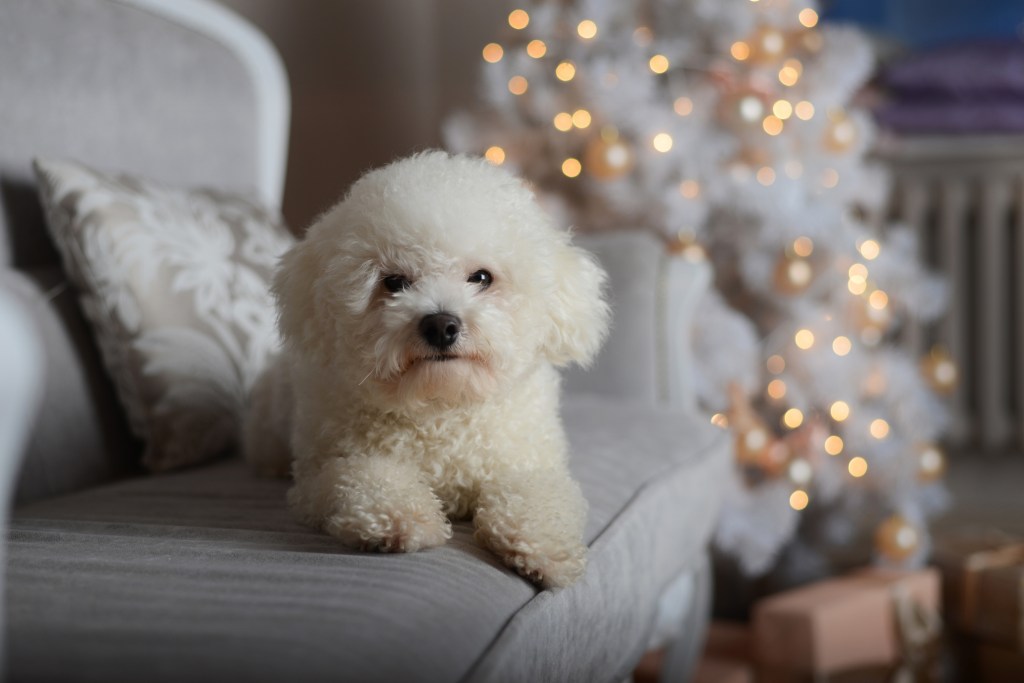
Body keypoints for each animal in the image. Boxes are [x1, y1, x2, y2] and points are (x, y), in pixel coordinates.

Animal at [245, 150, 606, 589]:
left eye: (481, 277)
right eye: (394, 282)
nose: (441, 325)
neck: (441, 408)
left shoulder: (528, 462)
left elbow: (539, 494)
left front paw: (544, 547)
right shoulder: (319, 478)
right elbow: (363, 476)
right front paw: (397, 518)